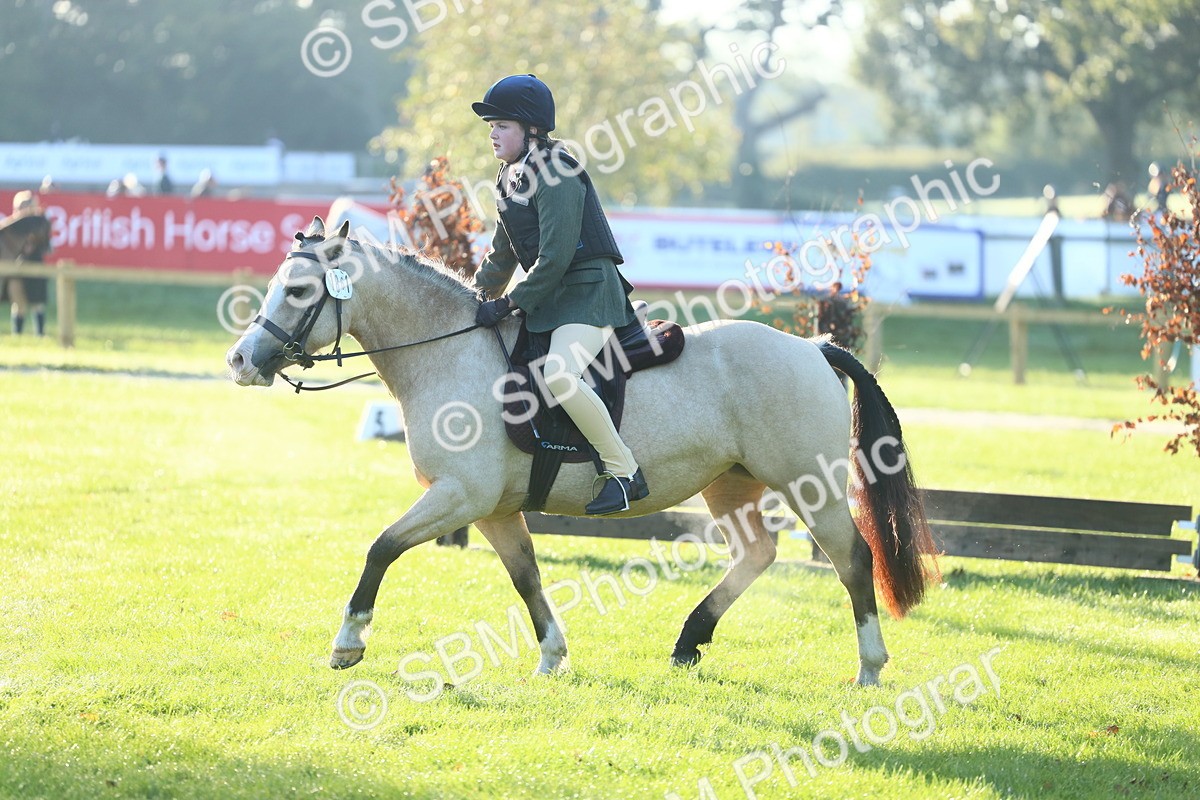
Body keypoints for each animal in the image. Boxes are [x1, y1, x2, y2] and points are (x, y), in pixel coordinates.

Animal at [225, 217, 938, 686]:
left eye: (297, 291)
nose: (240, 361)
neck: (449, 353)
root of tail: (812, 347)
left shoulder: (460, 496)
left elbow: (382, 548)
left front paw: (348, 643)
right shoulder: (493, 510)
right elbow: (527, 579)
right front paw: (551, 656)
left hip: (808, 485)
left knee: (852, 559)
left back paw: (869, 669)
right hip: (730, 483)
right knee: (756, 553)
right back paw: (688, 642)